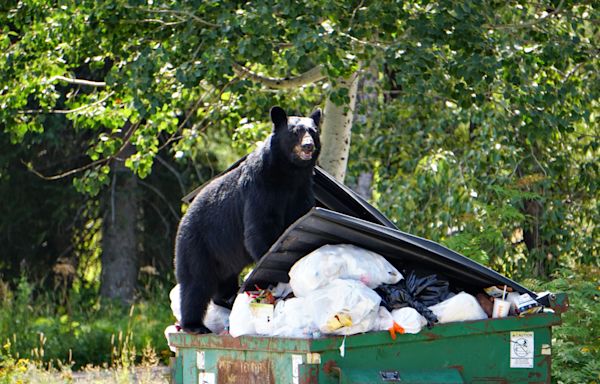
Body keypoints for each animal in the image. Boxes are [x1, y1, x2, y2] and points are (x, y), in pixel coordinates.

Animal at [175, 106, 322, 332]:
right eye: (295, 132)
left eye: (313, 131)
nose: (308, 145)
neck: (288, 174)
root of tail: (184, 216)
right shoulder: (261, 188)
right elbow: (260, 228)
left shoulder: (301, 191)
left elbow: (299, 219)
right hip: (198, 243)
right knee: (196, 282)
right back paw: (194, 324)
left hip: (223, 254)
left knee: (223, 278)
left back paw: (228, 298)